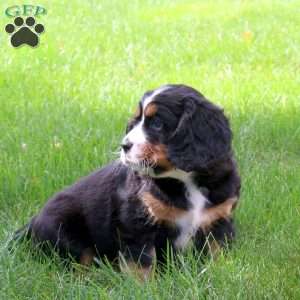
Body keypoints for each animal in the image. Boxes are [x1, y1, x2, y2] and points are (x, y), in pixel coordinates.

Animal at [15, 85, 241, 282]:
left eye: (157, 123)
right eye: (135, 121)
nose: (124, 145)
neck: (183, 179)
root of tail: (32, 222)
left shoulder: (218, 220)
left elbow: (217, 254)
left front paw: (221, 276)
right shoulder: (137, 223)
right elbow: (141, 263)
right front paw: (143, 289)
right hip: (62, 231)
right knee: (78, 262)